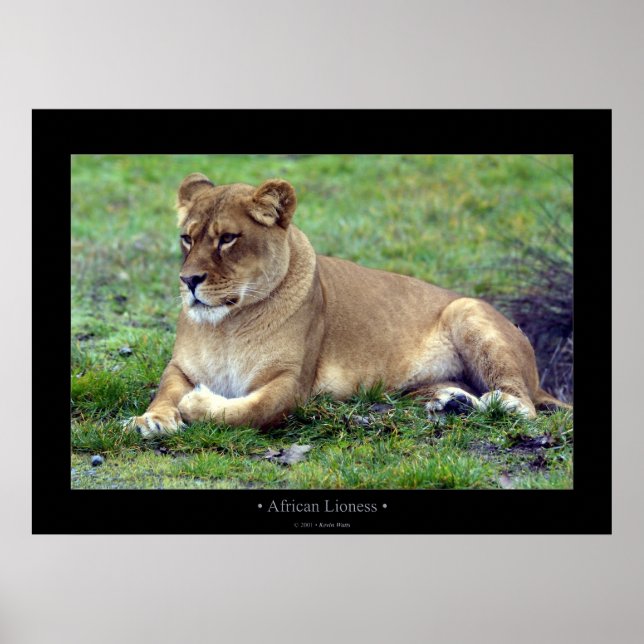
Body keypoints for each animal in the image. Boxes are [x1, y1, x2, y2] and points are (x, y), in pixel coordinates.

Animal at [130, 173, 570, 438]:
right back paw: (452, 403)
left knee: (524, 407)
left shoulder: (292, 383)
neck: (227, 325)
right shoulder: (180, 367)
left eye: (227, 239)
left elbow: (247, 411)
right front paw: (152, 419)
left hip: (466, 311)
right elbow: (164, 391)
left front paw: (196, 403)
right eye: (187, 238)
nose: (189, 280)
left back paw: (495, 402)